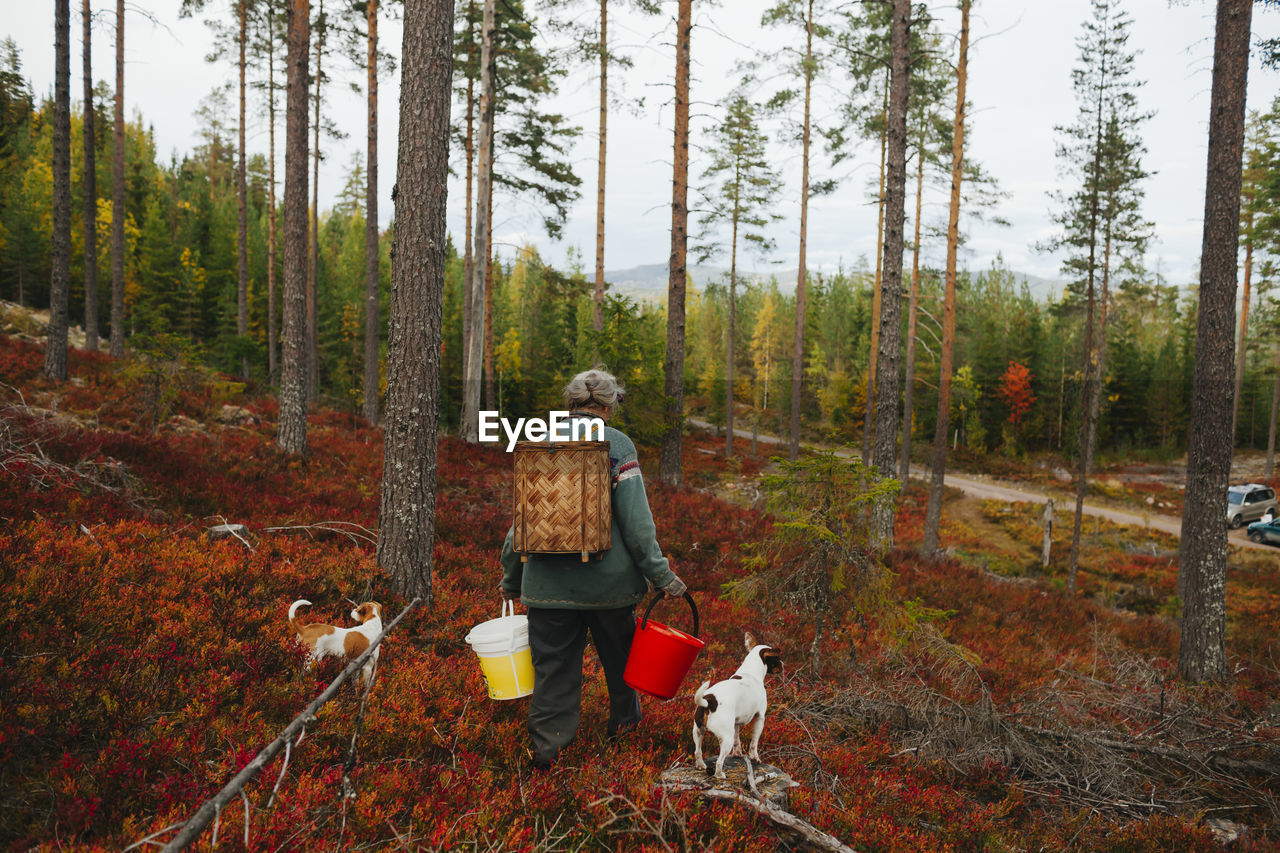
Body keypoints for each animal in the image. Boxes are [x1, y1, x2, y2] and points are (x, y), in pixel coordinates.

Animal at [696, 630, 783, 778]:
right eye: (777, 658)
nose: (783, 665)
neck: (750, 673)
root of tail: (709, 702)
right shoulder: (760, 717)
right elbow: (754, 743)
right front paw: (755, 758)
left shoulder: (736, 722)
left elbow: (738, 741)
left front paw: (737, 754)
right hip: (726, 738)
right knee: (719, 761)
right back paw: (720, 775)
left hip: (698, 732)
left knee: (697, 752)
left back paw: (701, 766)